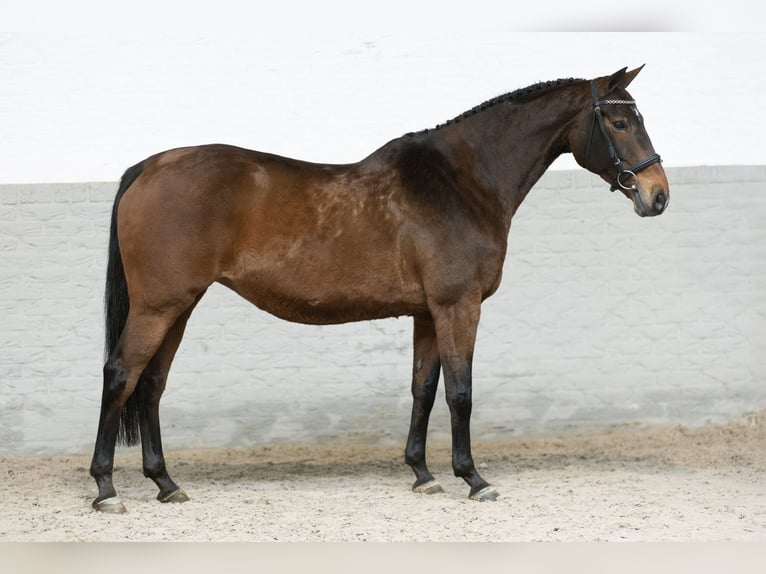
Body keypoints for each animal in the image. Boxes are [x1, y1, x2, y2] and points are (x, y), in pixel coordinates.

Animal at [90, 66, 668, 512]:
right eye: (619, 121)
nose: (657, 195)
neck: (461, 182)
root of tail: (150, 166)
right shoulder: (458, 307)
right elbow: (460, 392)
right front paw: (473, 479)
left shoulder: (427, 313)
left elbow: (423, 389)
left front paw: (423, 475)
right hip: (158, 306)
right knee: (120, 374)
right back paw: (106, 488)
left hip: (179, 306)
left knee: (151, 384)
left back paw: (166, 484)